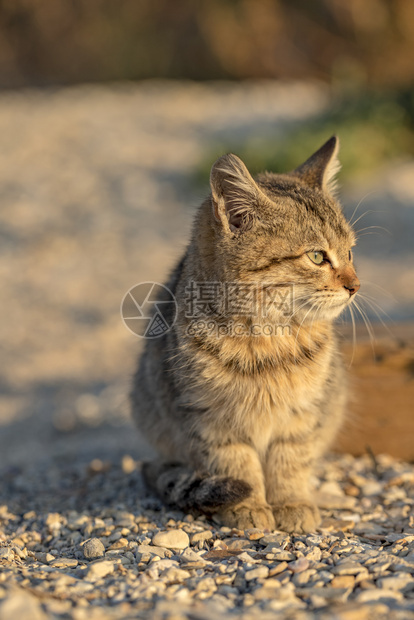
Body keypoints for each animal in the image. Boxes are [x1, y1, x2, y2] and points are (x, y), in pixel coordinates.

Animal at [132, 136, 360, 532]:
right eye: (317, 256)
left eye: (349, 252)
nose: (355, 286)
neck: (267, 339)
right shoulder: (211, 418)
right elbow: (237, 464)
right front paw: (248, 506)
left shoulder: (302, 414)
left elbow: (290, 460)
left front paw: (291, 502)